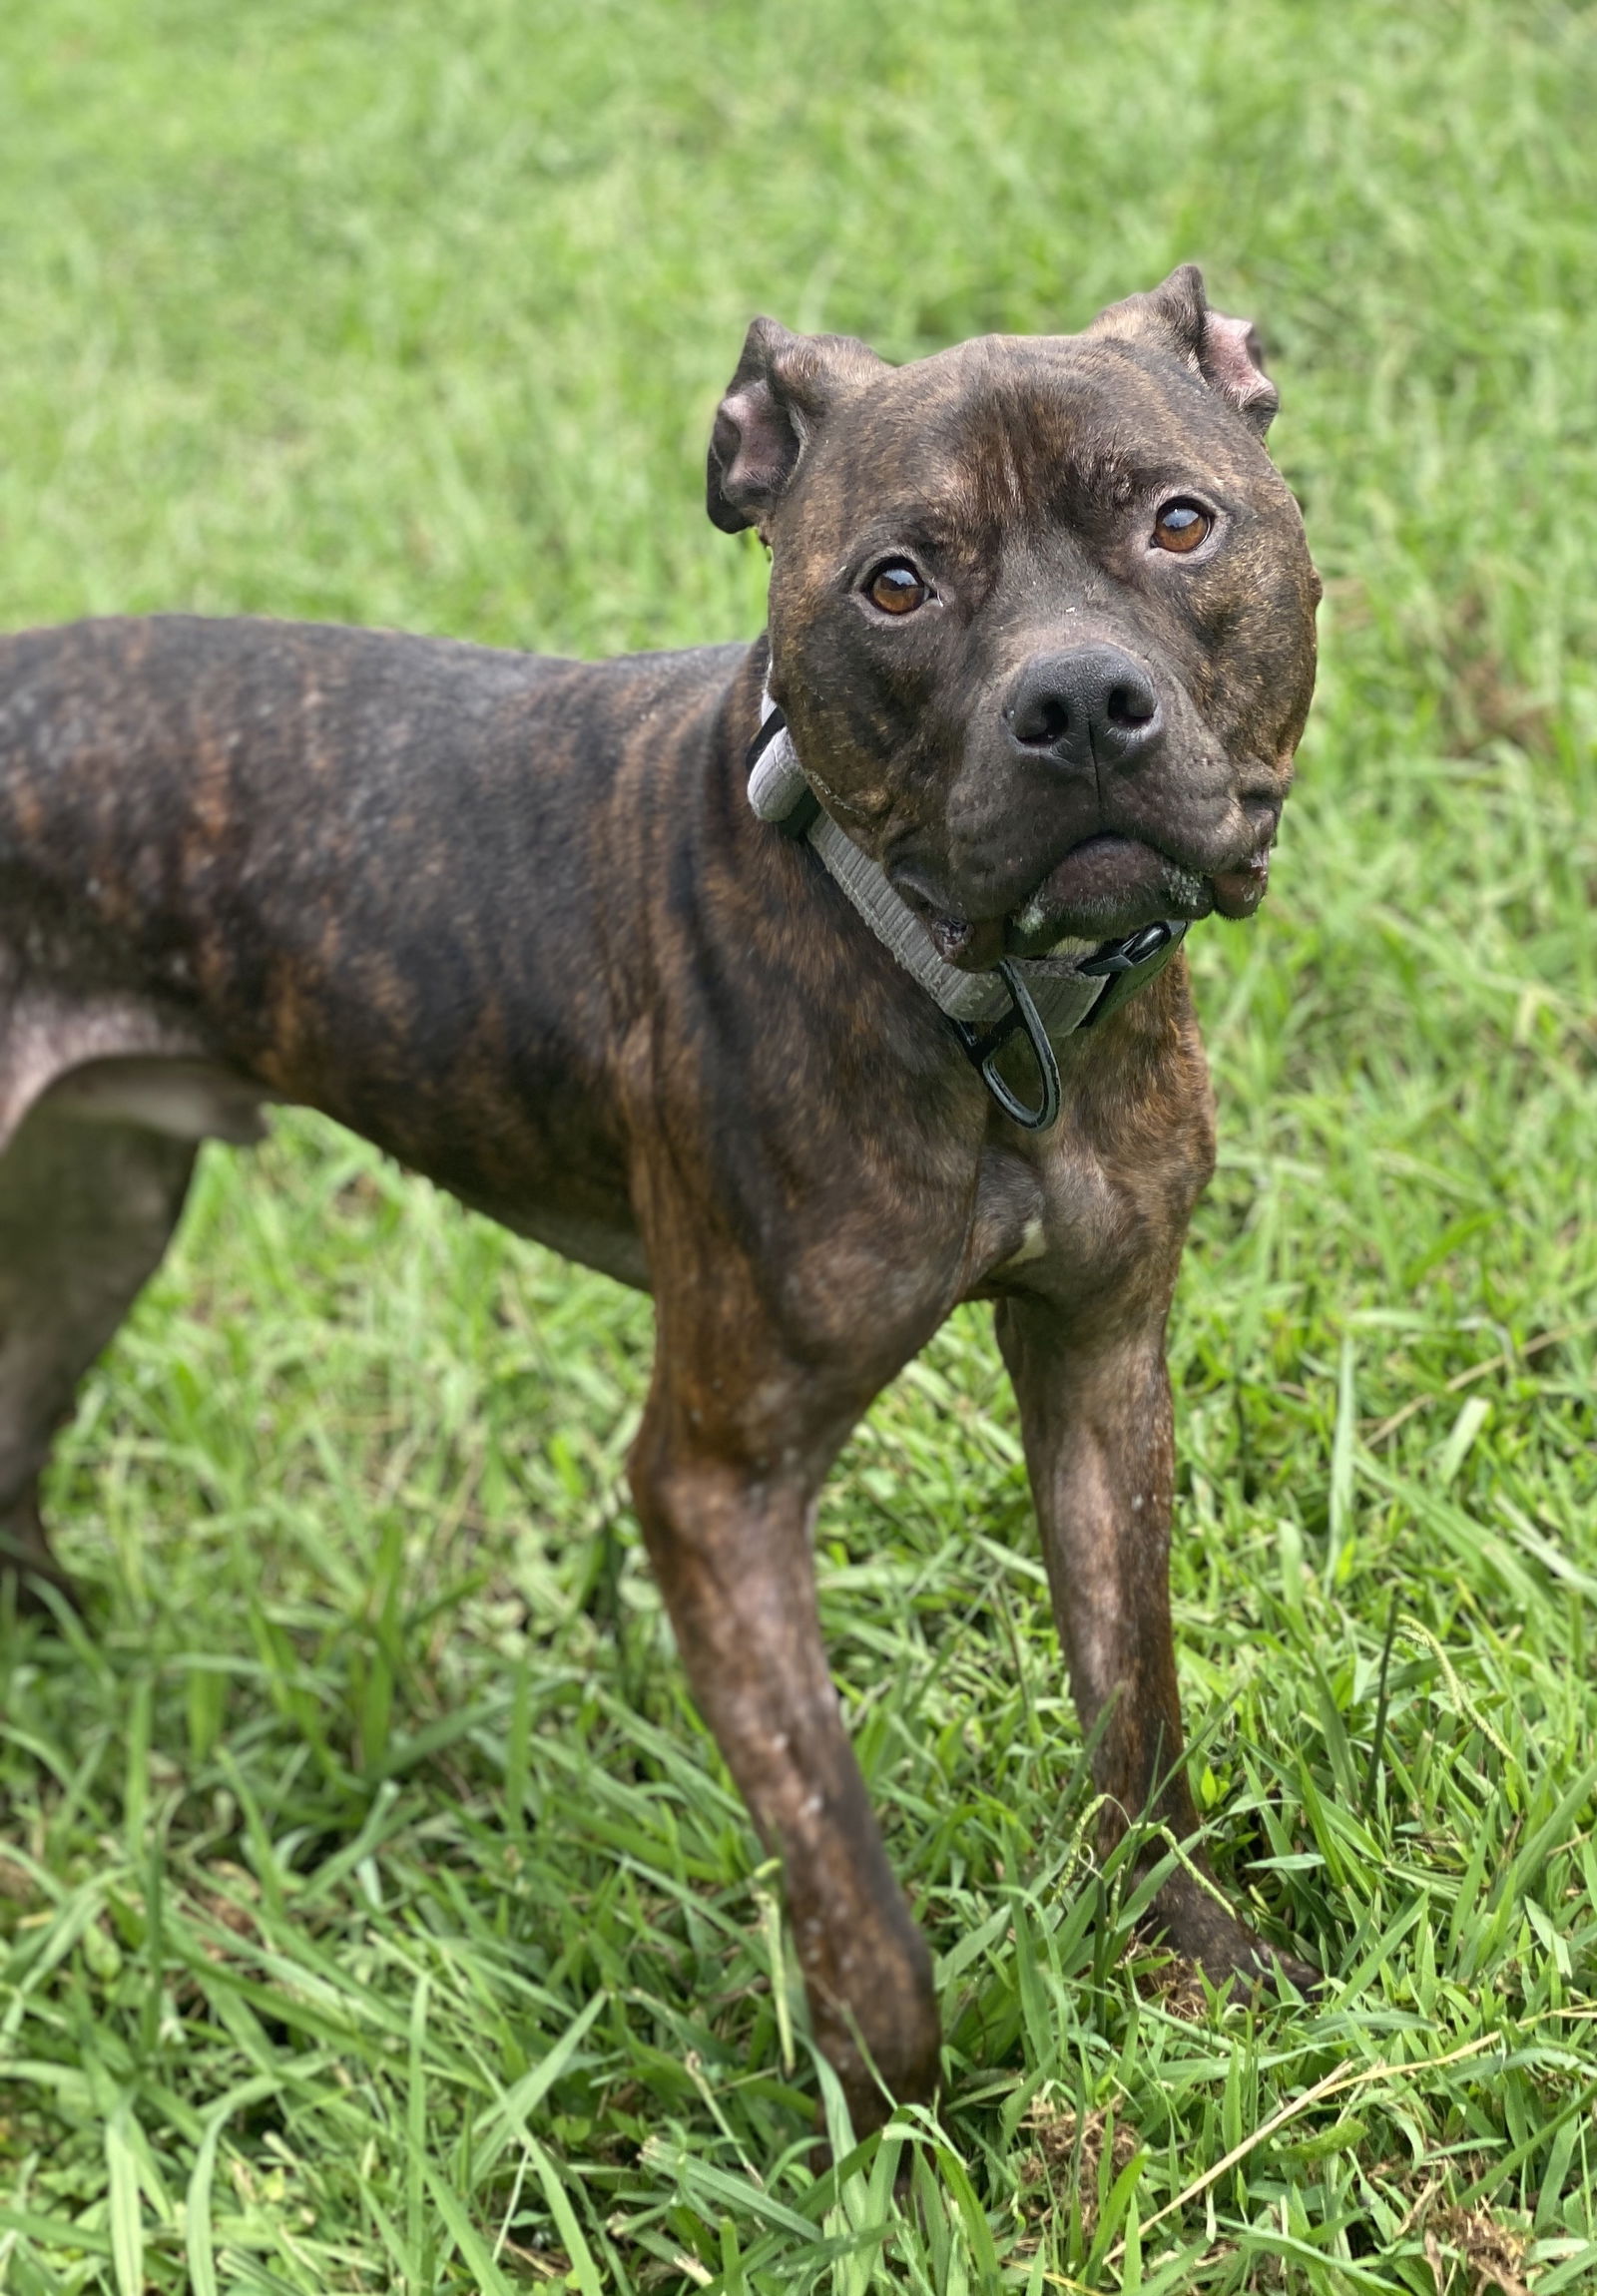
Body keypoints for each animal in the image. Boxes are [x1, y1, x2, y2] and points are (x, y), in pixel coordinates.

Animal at [0, 268, 1314, 2130]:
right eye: (895, 584)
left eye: (1180, 523)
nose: (1074, 704)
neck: (988, 1007)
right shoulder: (717, 1483)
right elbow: (853, 1889)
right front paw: (890, 2129)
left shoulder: (1103, 1357)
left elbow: (1136, 1704)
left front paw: (1198, 1961)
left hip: (96, 1215)